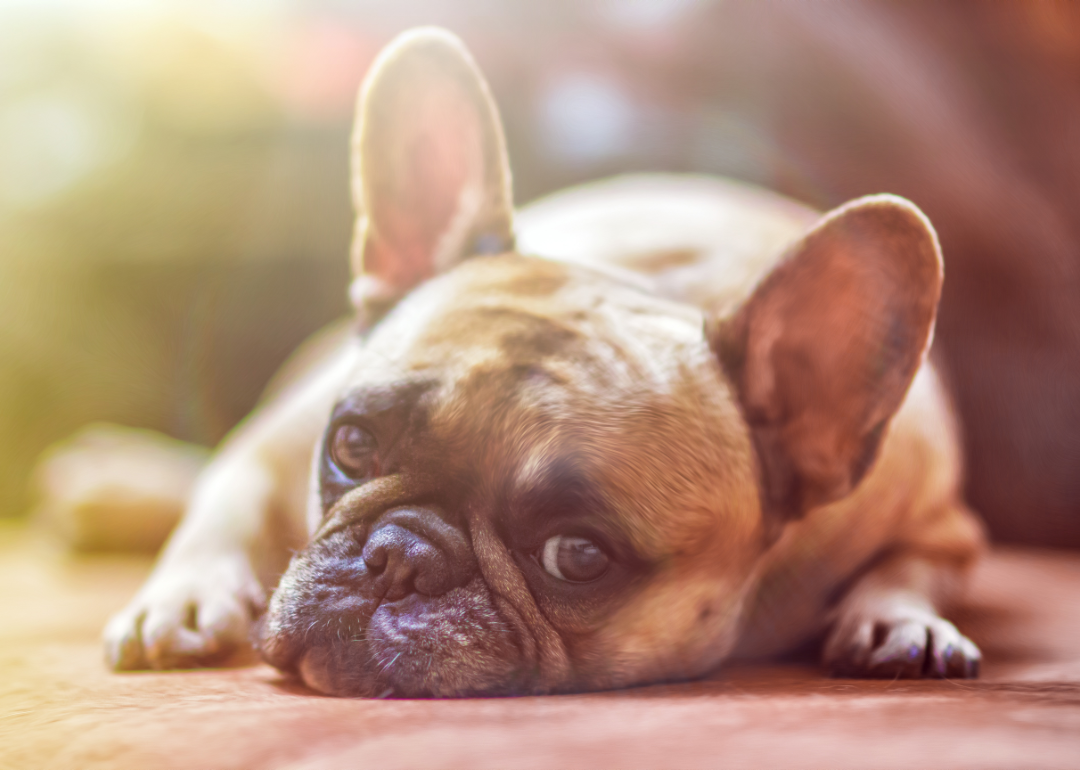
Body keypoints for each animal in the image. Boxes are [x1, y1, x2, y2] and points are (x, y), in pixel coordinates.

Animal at [105, 26, 984, 695]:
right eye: (352, 446)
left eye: (577, 556)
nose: (399, 556)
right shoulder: (285, 439)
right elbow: (228, 497)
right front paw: (184, 595)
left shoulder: (944, 523)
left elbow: (917, 565)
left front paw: (900, 617)